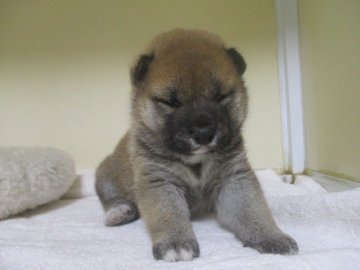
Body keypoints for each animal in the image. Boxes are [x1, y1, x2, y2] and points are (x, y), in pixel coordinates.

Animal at [95, 28, 298, 260]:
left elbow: (253, 210)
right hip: (105, 176)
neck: (197, 161)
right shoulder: (159, 181)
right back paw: (119, 212)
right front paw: (176, 243)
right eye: (171, 102)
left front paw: (271, 236)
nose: (203, 133)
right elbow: (168, 214)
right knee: (110, 198)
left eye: (221, 96)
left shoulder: (234, 178)